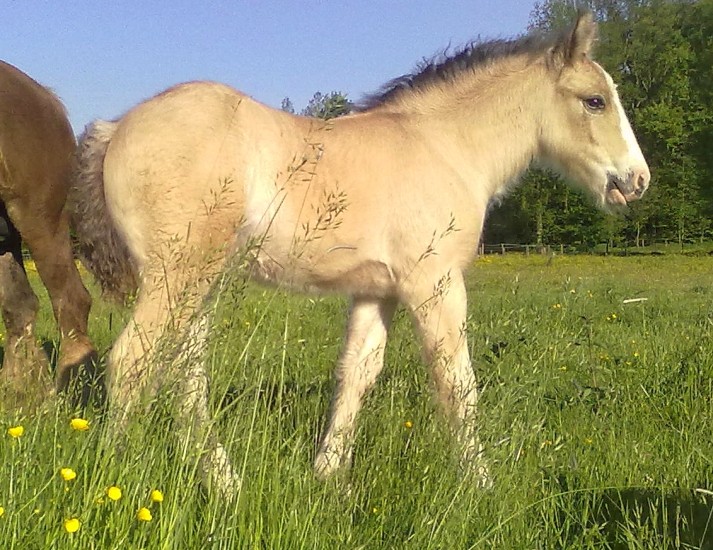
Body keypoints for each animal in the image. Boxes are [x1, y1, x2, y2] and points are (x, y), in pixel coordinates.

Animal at [71, 14, 644, 496]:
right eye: (595, 100)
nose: (636, 181)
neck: (443, 146)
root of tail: (116, 127)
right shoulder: (435, 283)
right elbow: (457, 384)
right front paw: (480, 485)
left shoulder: (376, 291)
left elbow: (356, 374)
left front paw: (328, 475)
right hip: (178, 274)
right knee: (133, 360)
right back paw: (117, 473)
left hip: (202, 282)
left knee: (186, 376)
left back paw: (226, 484)